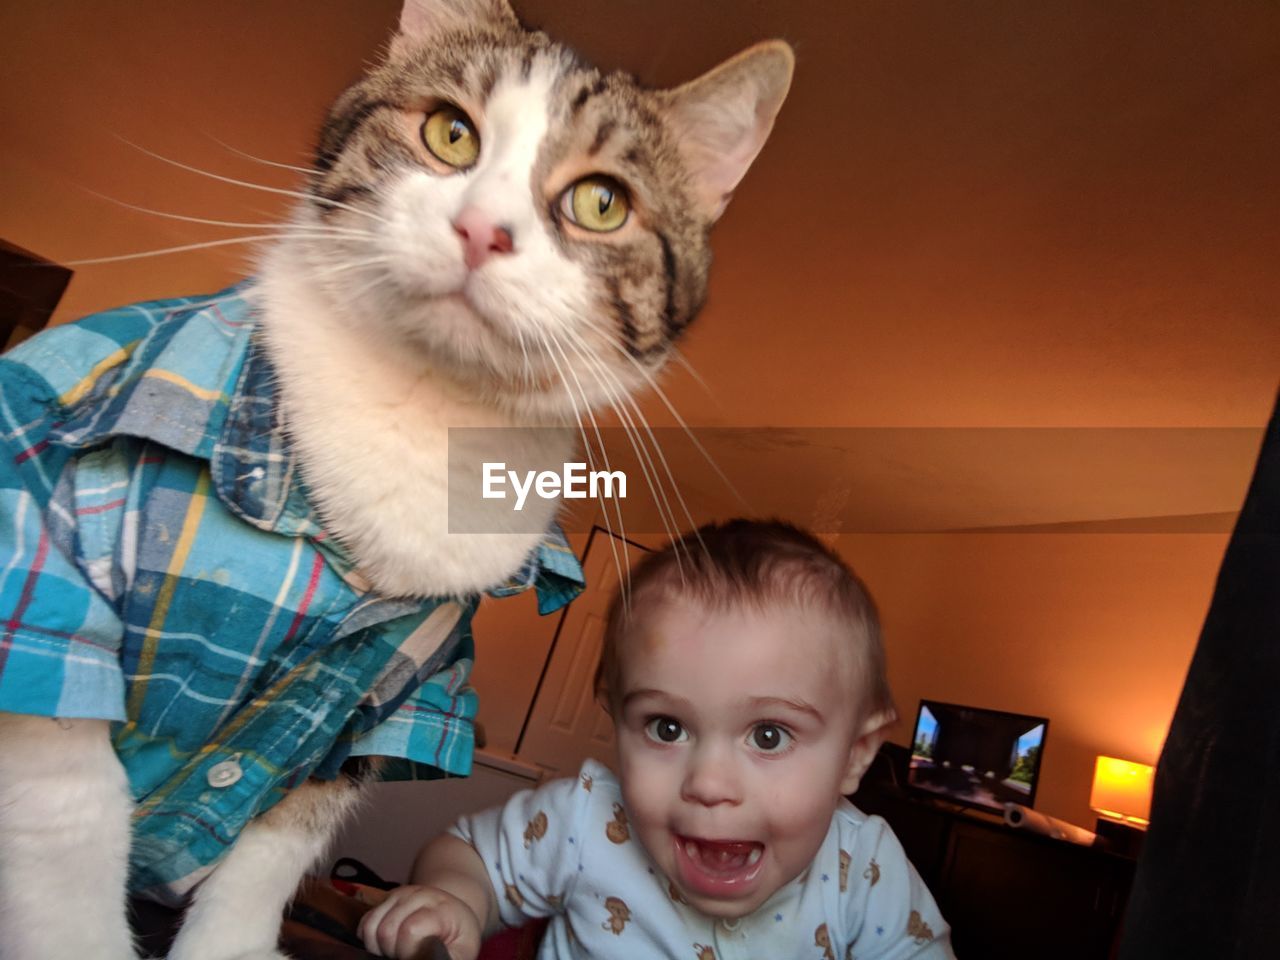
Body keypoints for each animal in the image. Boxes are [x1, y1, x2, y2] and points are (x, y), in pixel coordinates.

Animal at [0, 1, 788, 960]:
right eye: (451, 133)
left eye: (602, 202)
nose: (482, 230)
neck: (420, 411)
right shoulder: (44, 567)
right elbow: (69, 822)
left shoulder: (396, 694)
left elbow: (278, 845)